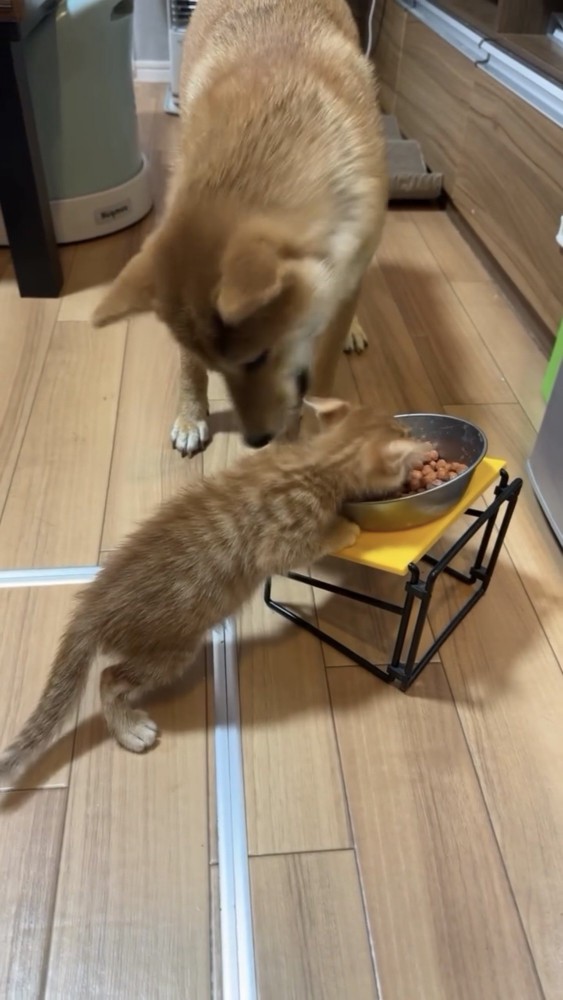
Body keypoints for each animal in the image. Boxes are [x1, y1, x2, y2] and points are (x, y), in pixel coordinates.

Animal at [0, 398, 424, 780]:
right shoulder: (282, 541)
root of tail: (88, 608)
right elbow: (303, 546)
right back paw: (128, 729)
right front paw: (344, 528)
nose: (419, 442)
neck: (316, 461)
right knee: (109, 678)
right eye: (404, 437)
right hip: (171, 649)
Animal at [93, 0, 388, 454]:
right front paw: (191, 414)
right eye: (220, 367)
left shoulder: (348, 265)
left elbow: (323, 368)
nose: (256, 440)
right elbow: (188, 362)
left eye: (258, 358)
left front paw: (316, 435)